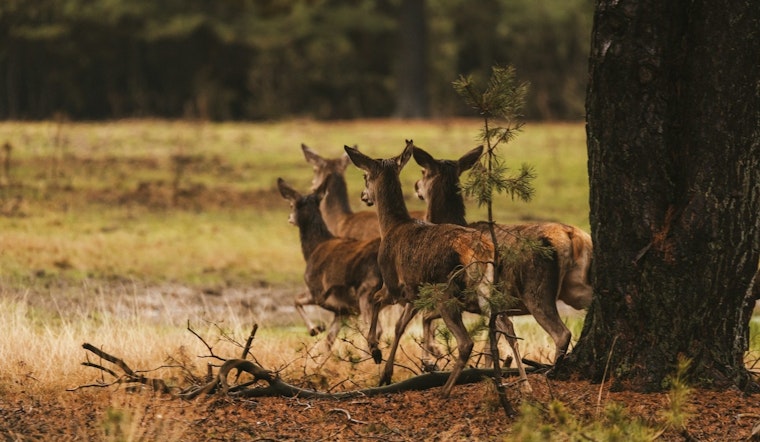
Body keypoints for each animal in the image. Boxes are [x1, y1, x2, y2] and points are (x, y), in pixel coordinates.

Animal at [277, 177, 384, 353]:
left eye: (292, 204)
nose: (289, 218)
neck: (313, 249)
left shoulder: (318, 292)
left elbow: (296, 300)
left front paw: (314, 329)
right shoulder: (343, 310)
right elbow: (329, 341)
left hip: (366, 290)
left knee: (376, 330)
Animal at [344, 140, 530, 398]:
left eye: (364, 176)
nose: (364, 196)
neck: (391, 227)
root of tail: (480, 250)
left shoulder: (393, 283)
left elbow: (376, 300)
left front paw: (375, 350)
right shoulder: (415, 292)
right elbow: (400, 326)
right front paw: (386, 373)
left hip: (446, 290)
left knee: (466, 341)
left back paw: (445, 390)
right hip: (486, 289)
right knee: (506, 326)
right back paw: (525, 383)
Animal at [411, 144, 594, 366]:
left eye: (423, 171)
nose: (416, 186)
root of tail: (572, 236)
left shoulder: (461, 293)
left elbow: (426, 316)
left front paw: (431, 355)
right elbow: (490, 347)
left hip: (536, 289)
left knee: (561, 333)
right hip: (575, 287)